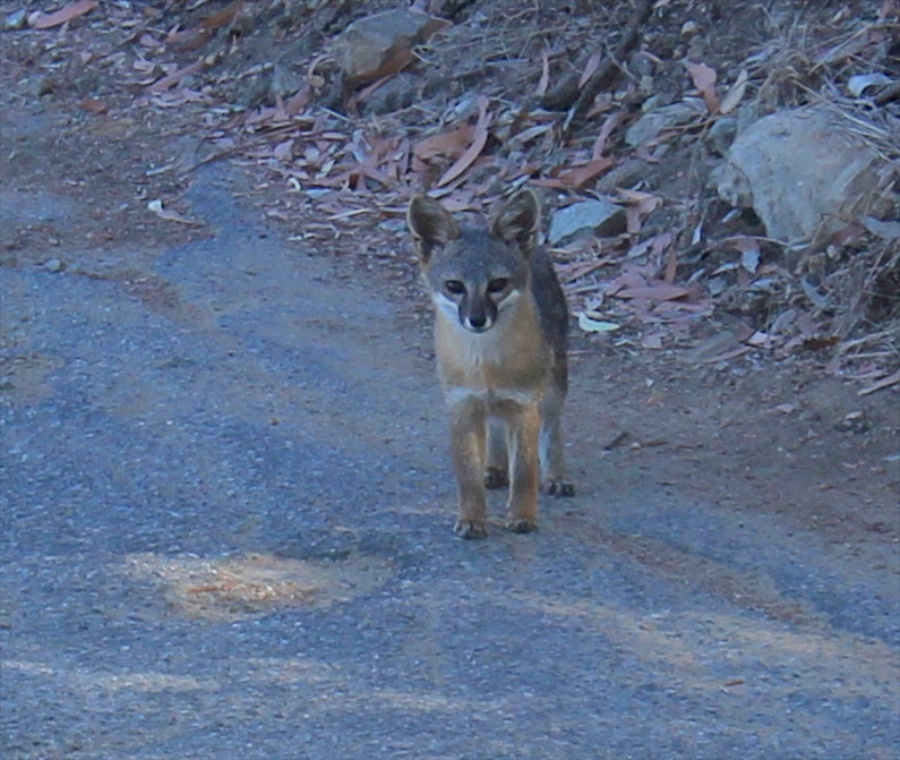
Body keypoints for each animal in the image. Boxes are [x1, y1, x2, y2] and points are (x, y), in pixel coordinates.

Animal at [406, 187, 572, 536]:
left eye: (497, 285)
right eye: (454, 286)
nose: (477, 319)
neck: (486, 368)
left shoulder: (524, 405)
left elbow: (524, 472)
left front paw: (522, 516)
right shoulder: (462, 406)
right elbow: (468, 476)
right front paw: (471, 519)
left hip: (553, 387)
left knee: (551, 428)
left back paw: (556, 476)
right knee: (495, 427)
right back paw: (494, 467)